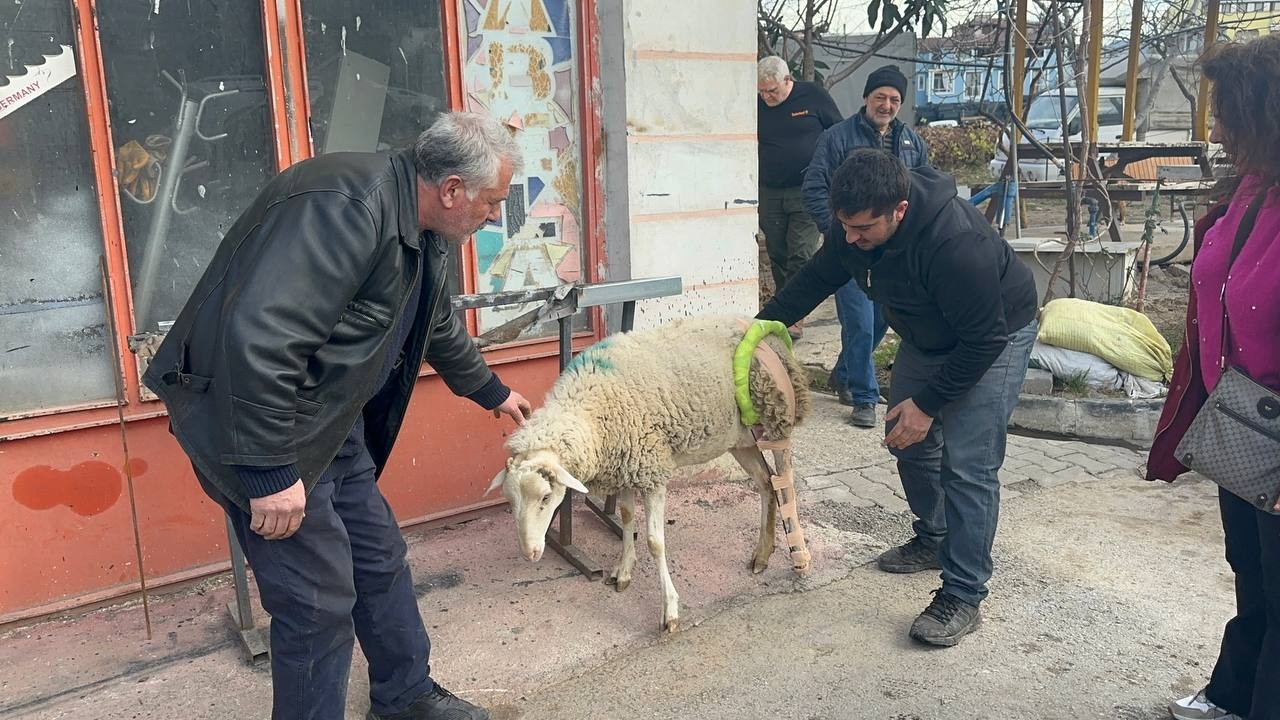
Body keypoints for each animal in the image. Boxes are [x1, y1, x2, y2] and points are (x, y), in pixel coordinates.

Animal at [488, 312, 808, 627]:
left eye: (545, 497)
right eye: (511, 501)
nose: (530, 554)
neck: (591, 408)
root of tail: (759, 326)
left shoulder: (652, 469)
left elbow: (655, 542)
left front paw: (670, 610)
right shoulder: (627, 465)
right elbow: (627, 517)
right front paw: (623, 570)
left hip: (777, 416)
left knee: (785, 484)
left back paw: (800, 556)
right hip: (738, 438)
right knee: (766, 483)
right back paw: (763, 553)